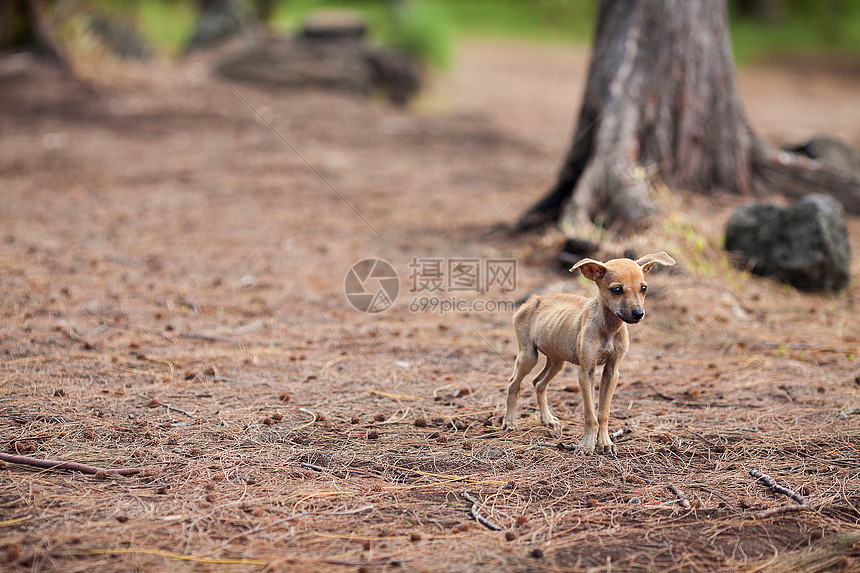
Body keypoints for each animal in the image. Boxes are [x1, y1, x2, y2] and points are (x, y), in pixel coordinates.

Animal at [500, 252, 676, 454]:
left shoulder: (611, 372)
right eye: (616, 290)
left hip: (556, 361)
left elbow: (603, 413)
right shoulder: (586, 373)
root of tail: (532, 300)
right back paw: (510, 421)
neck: (608, 329)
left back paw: (547, 419)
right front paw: (587, 445)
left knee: (539, 383)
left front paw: (605, 442)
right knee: (513, 384)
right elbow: (590, 414)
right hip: (529, 356)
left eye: (644, 288)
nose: (638, 313)